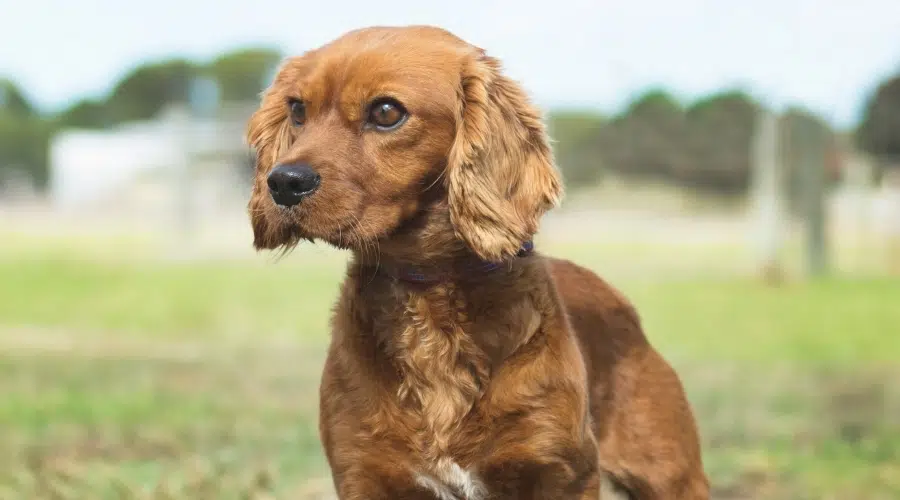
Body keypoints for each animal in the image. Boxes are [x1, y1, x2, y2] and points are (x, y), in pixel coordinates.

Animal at [248, 24, 712, 500]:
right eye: (298, 109)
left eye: (386, 112)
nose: (283, 182)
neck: (429, 296)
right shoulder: (363, 472)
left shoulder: (564, 472)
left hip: (671, 476)